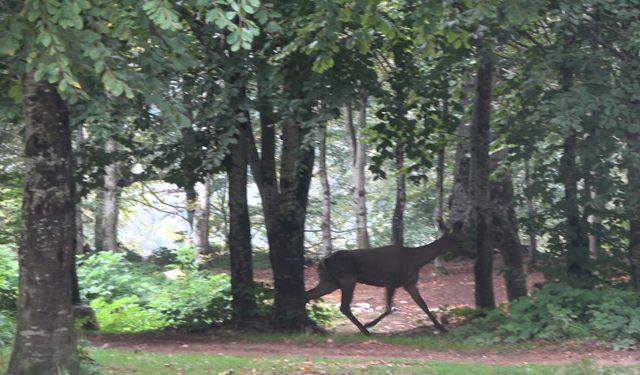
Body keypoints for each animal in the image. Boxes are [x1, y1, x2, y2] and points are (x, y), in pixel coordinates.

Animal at [304, 220, 470, 334]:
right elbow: (389, 308)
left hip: (330, 281)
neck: (415, 261)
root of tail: (323, 260)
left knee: (307, 294)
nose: (470, 252)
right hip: (347, 278)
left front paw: (442, 328)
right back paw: (364, 330)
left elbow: (423, 305)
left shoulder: (409, 283)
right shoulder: (391, 281)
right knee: (344, 306)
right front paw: (369, 324)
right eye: (459, 240)